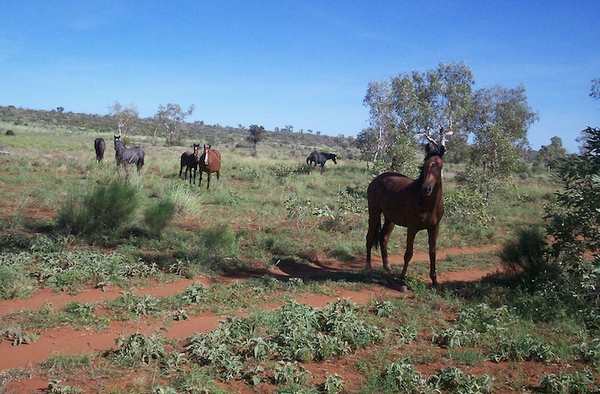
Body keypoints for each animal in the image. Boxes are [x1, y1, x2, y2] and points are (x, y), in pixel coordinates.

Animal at [366, 143, 446, 284]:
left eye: (439, 166)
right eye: (425, 165)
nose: (426, 189)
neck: (427, 204)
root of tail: (376, 179)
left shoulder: (434, 227)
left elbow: (432, 252)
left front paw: (434, 280)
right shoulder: (412, 228)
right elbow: (409, 253)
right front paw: (402, 278)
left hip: (390, 219)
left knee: (383, 237)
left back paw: (388, 268)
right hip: (374, 213)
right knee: (370, 236)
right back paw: (368, 267)